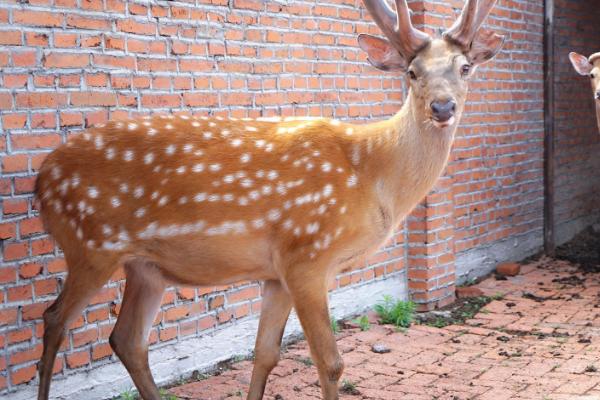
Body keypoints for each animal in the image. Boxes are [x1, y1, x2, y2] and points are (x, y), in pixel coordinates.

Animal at [36, 0, 506, 400]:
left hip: (145, 267)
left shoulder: (276, 272)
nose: (442, 107)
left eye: (465, 67)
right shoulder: (307, 254)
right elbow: (329, 362)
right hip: (91, 244)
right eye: (411, 71)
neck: (373, 178)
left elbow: (266, 354)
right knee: (54, 320)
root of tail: (41, 180)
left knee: (127, 339)